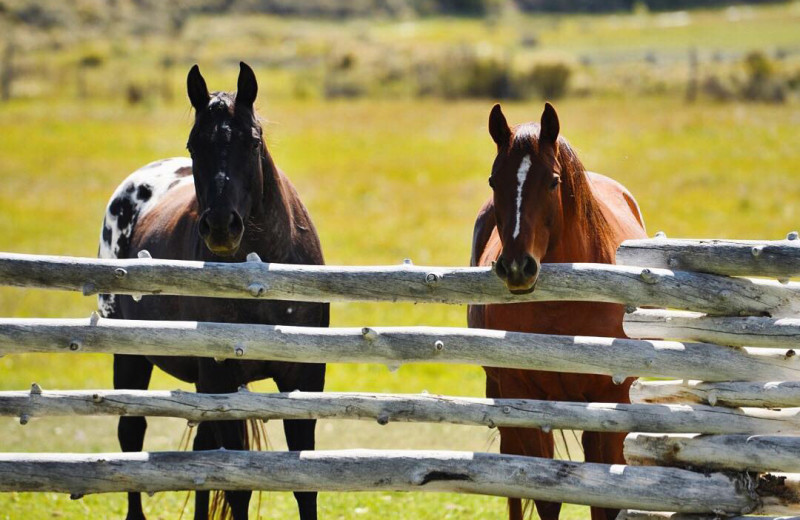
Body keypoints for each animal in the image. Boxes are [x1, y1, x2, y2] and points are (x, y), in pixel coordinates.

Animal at [97, 62, 328, 520]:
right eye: (193, 143)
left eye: (252, 140)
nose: (221, 226)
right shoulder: (222, 380)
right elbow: (237, 485)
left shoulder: (304, 379)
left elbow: (304, 484)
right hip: (131, 356)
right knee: (131, 433)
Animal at [468, 102, 644, 520]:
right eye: (494, 181)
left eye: (552, 181)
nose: (517, 267)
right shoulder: (524, 401)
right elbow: (543, 494)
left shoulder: (609, 402)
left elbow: (606, 501)